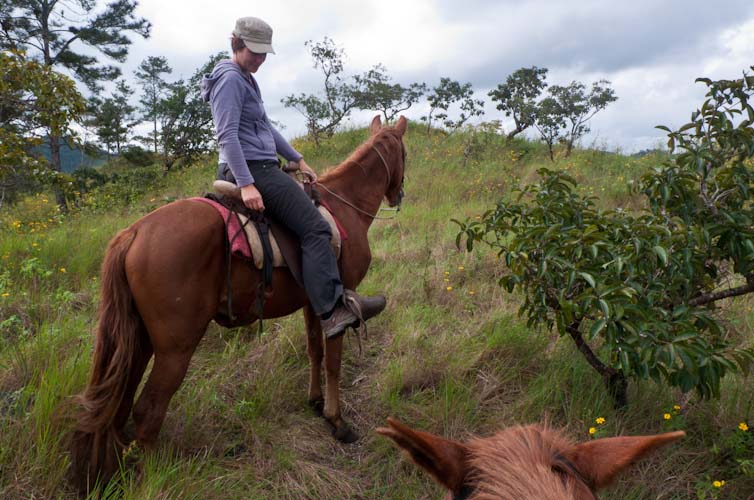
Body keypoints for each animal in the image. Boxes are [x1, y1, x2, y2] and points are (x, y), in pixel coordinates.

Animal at [72, 116, 406, 488]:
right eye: (405, 153)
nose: (398, 194)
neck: (345, 205)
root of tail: (134, 233)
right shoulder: (341, 294)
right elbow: (333, 361)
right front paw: (337, 422)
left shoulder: (314, 302)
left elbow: (314, 351)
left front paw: (315, 401)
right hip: (176, 348)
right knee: (148, 410)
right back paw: (151, 479)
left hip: (138, 341)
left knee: (119, 405)